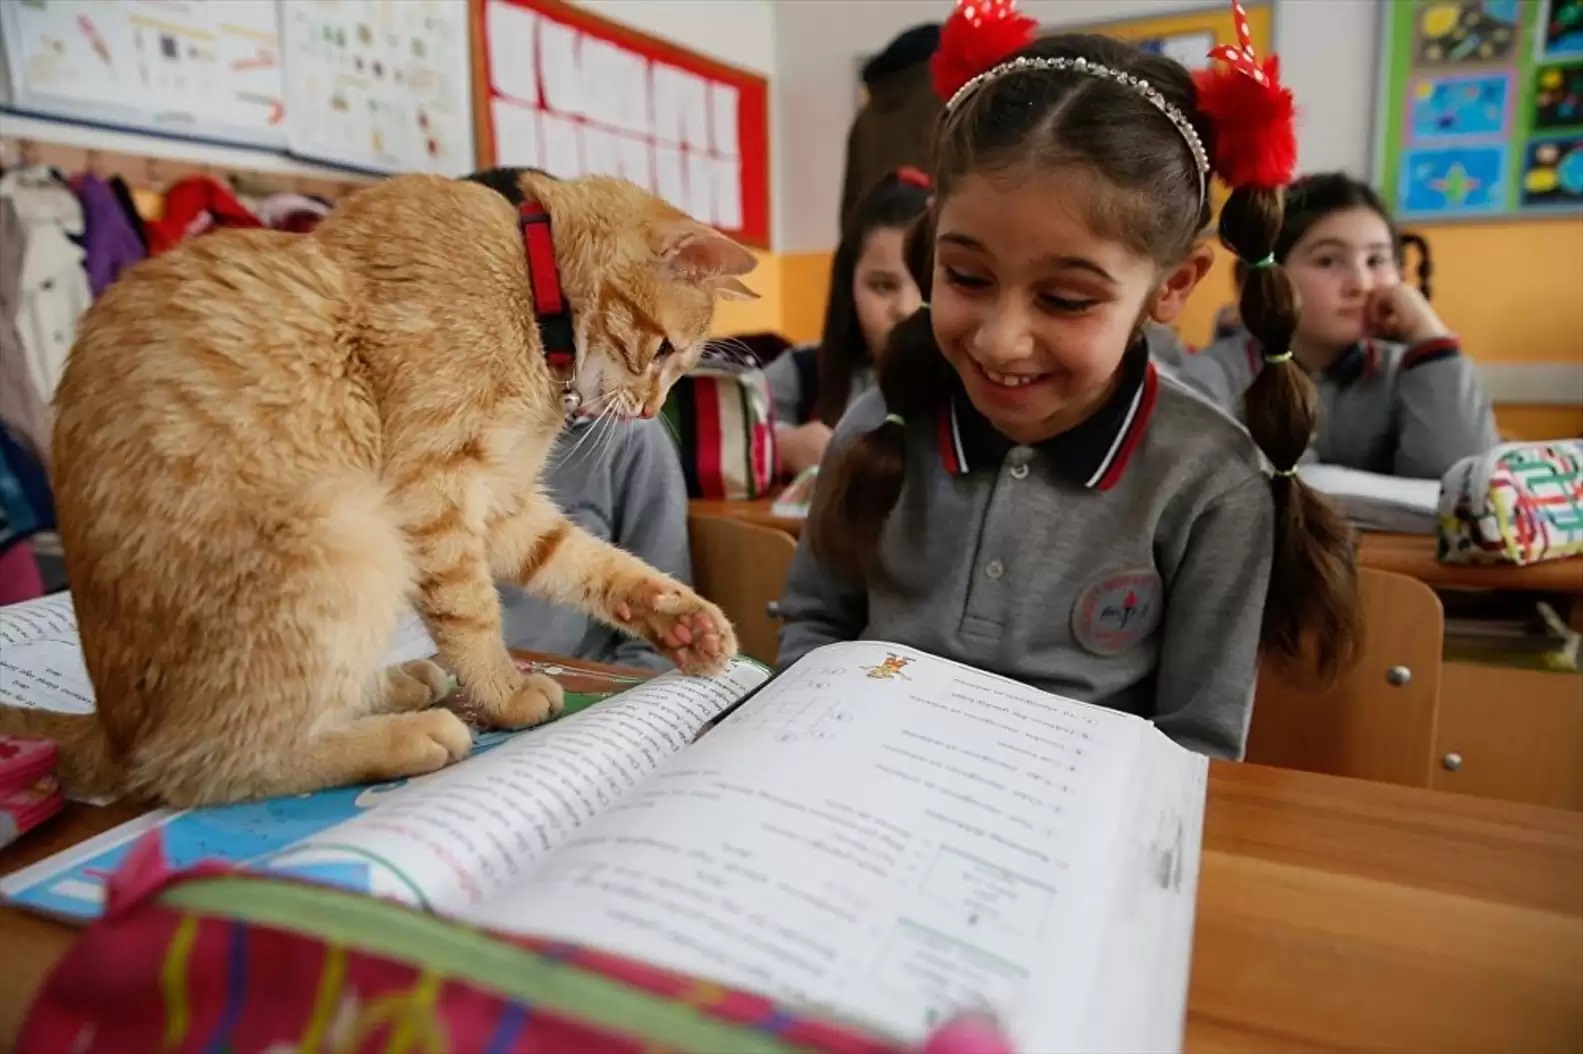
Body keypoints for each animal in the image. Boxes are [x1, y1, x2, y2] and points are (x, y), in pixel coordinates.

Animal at [0, 168, 753, 800]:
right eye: (663, 351)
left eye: (677, 364)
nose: (651, 411)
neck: (531, 286)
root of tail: (112, 728)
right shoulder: (432, 490)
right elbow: (471, 611)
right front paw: (504, 691)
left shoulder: (500, 506)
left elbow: (590, 564)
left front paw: (680, 620)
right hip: (344, 531)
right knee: (203, 765)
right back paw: (404, 737)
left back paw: (398, 684)